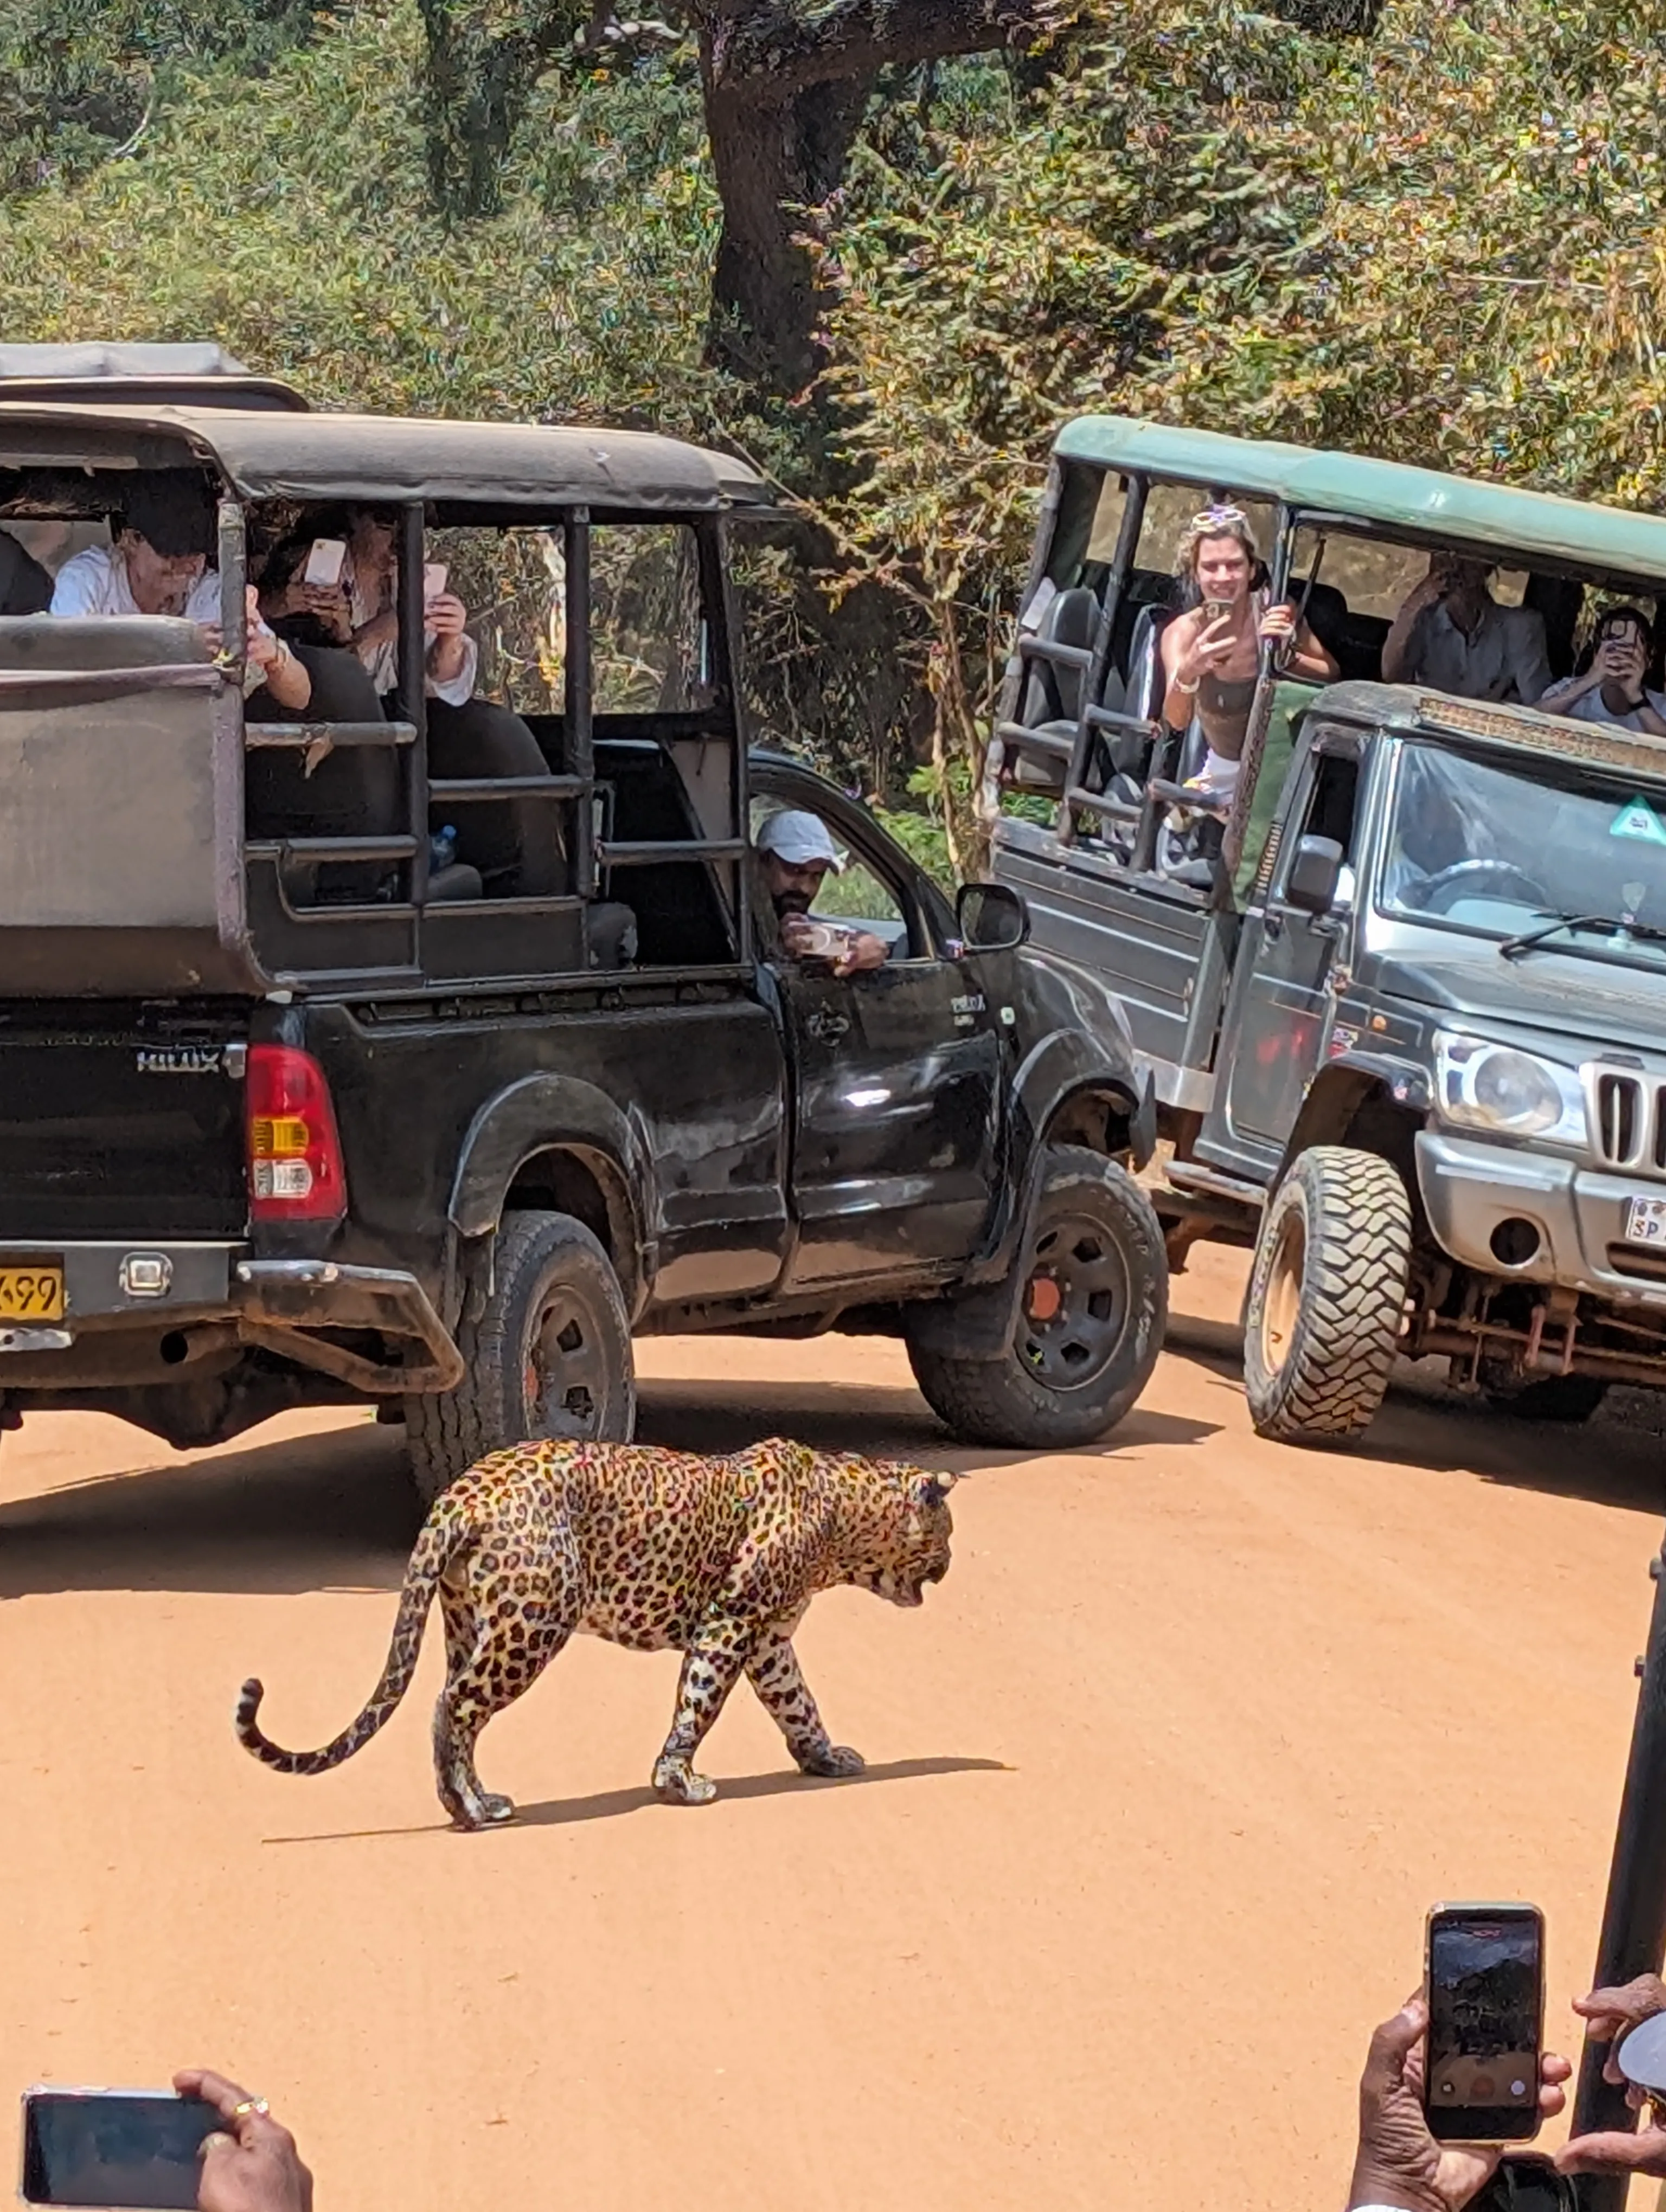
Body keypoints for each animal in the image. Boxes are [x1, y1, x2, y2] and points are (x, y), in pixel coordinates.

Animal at [234, 1435, 956, 1829]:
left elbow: (799, 1703)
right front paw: (678, 1784)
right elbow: (699, 1705)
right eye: (946, 1534)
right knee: (454, 1704)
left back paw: (478, 1799)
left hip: (469, 1619)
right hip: (533, 1622)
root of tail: (461, 1493)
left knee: (458, 1707)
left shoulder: (770, 1639)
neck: (845, 1515)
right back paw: (468, 1811)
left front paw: (824, 1758)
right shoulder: (730, 1624)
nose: (950, 1567)